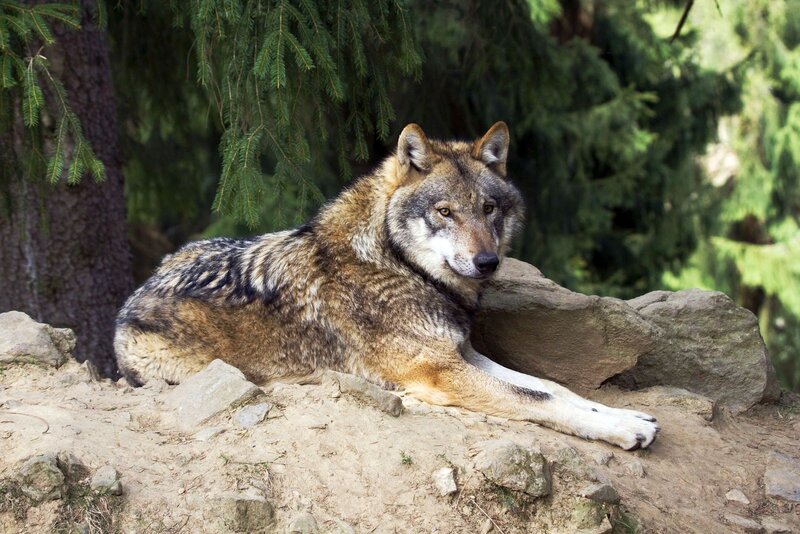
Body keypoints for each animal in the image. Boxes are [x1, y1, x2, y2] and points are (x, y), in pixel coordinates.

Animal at [115, 122, 659, 450]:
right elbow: (537, 399)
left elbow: (550, 386)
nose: (487, 262)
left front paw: (626, 415)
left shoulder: (460, 353)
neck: (395, 264)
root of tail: (133, 296)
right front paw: (621, 427)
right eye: (445, 212)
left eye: (489, 209)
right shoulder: (439, 372)